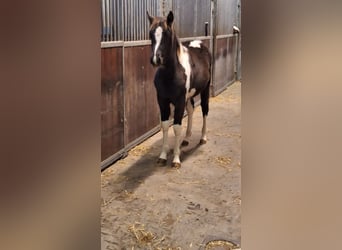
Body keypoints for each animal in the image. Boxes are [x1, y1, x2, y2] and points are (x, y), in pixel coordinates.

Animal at [147, 11, 211, 168]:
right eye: (151, 34)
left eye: (167, 34)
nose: (155, 60)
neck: (171, 74)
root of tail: (200, 44)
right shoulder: (162, 100)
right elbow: (165, 125)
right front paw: (163, 156)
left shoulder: (179, 101)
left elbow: (176, 127)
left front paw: (176, 159)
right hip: (189, 96)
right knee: (191, 109)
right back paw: (186, 139)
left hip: (205, 90)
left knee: (205, 110)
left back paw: (203, 138)